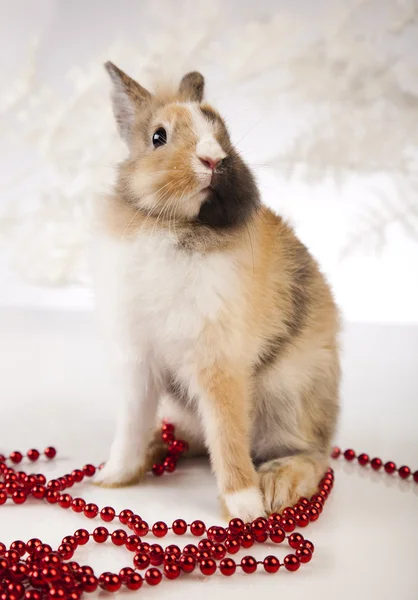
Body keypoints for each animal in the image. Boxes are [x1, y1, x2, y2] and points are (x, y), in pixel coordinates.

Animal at [92, 61, 340, 520]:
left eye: (222, 130)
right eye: (158, 137)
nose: (213, 158)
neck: (174, 223)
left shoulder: (218, 361)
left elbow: (227, 430)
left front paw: (245, 507)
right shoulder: (139, 362)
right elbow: (130, 423)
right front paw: (112, 477)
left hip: (290, 400)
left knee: (311, 456)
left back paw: (276, 484)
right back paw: (155, 450)